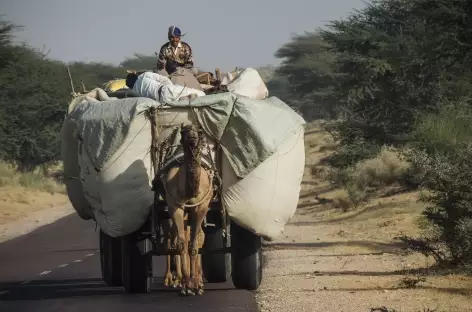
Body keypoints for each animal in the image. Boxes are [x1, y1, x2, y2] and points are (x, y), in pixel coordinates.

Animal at [160, 124, 216, 294]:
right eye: (184, 131)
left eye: (199, 132)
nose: (192, 137)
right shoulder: (174, 206)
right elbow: (181, 243)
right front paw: (185, 284)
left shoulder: (201, 207)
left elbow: (194, 242)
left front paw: (196, 284)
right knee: (170, 239)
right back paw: (170, 279)